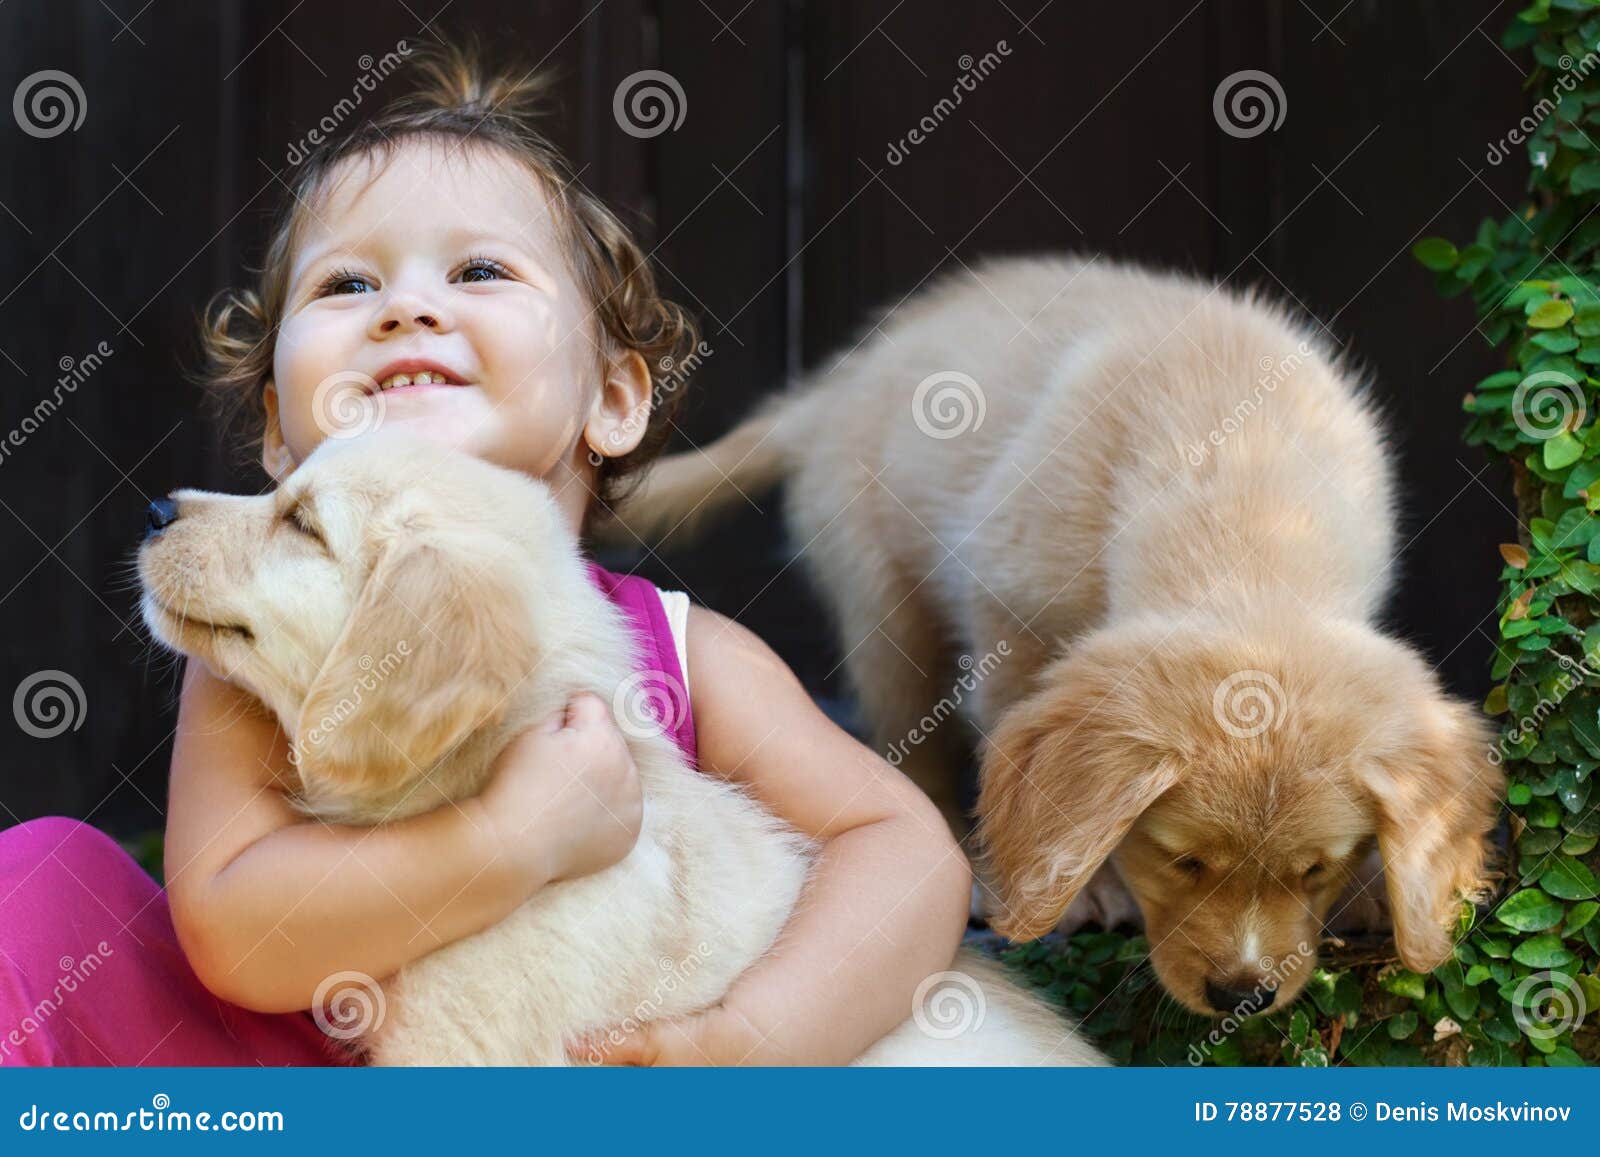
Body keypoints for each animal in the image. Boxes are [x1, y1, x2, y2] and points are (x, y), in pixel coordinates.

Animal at [608, 252, 1497, 1011]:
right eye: (1180, 858)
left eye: (1314, 869)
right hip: (883, 595)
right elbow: (1011, 729)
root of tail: (841, 384)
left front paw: (1381, 885)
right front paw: (1073, 885)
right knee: (909, 740)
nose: (1241, 997)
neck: (1248, 494)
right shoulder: (1010, 609)